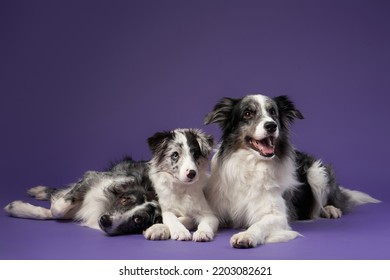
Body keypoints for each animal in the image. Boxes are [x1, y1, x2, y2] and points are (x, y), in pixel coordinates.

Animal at [3, 156, 161, 235]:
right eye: (124, 200)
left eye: (138, 219)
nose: (105, 220)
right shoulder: (93, 178)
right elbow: (58, 209)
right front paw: (15, 208)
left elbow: (54, 212)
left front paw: (16, 208)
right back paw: (39, 191)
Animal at [206, 95, 380, 248]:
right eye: (247, 113)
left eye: (273, 112)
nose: (271, 125)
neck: (251, 167)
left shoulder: (278, 216)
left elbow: (259, 225)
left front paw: (246, 235)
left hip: (317, 172)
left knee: (322, 204)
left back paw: (330, 209)